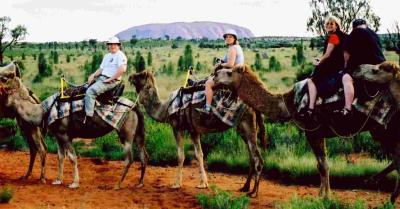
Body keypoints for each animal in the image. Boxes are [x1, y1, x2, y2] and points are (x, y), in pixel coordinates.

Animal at [0, 62, 148, 189]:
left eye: (4, 78)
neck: (43, 110)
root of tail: (135, 107)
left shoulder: (65, 134)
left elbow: (72, 157)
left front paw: (74, 183)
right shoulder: (59, 135)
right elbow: (60, 156)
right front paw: (58, 180)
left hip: (125, 133)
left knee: (129, 158)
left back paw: (117, 185)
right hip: (137, 133)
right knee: (143, 154)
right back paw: (139, 183)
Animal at [128, 71, 266, 197]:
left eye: (140, 75)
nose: (130, 76)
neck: (165, 108)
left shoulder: (177, 127)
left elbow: (181, 155)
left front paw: (176, 184)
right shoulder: (194, 131)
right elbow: (199, 154)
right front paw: (203, 184)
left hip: (247, 124)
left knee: (257, 159)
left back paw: (253, 192)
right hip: (243, 127)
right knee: (252, 157)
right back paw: (245, 187)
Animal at [214, 64, 400, 203]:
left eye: (229, 72)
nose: (215, 76)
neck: (288, 103)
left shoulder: (312, 130)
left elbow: (323, 165)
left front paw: (326, 198)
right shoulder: (317, 133)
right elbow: (320, 165)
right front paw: (321, 194)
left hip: (386, 128)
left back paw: (387, 196)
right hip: (383, 130)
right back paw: (384, 192)